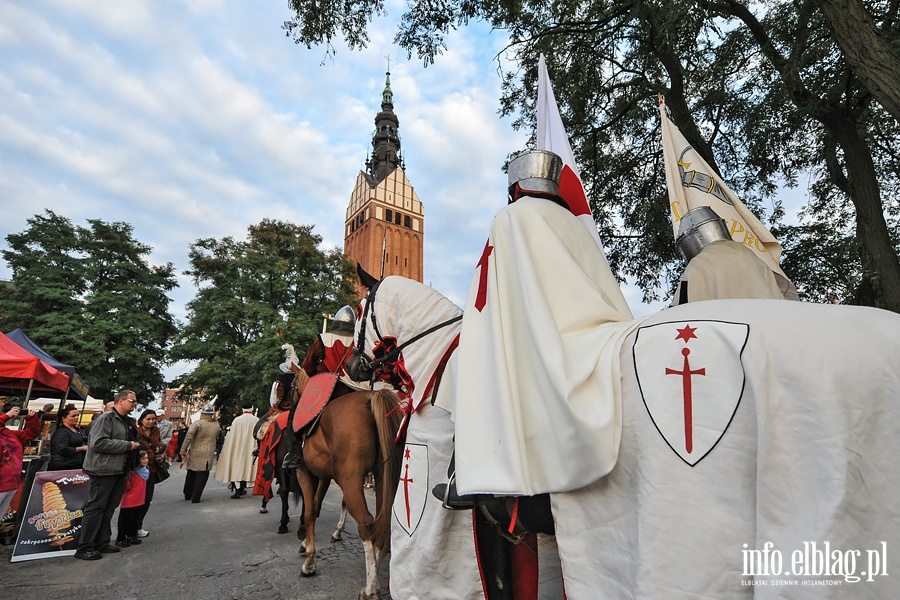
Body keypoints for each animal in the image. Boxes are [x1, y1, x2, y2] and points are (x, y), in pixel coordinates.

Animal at [290, 364, 402, 596]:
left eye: (292, 386)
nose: (280, 404)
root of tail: (371, 396)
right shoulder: (325, 476)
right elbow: (316, 507)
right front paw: (306, 545)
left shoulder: (305, 473)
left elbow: (309, 512)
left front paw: (309, 562)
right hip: (383, 477)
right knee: (384, 520)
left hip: (350, 479)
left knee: (366, 523)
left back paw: (370, 588)